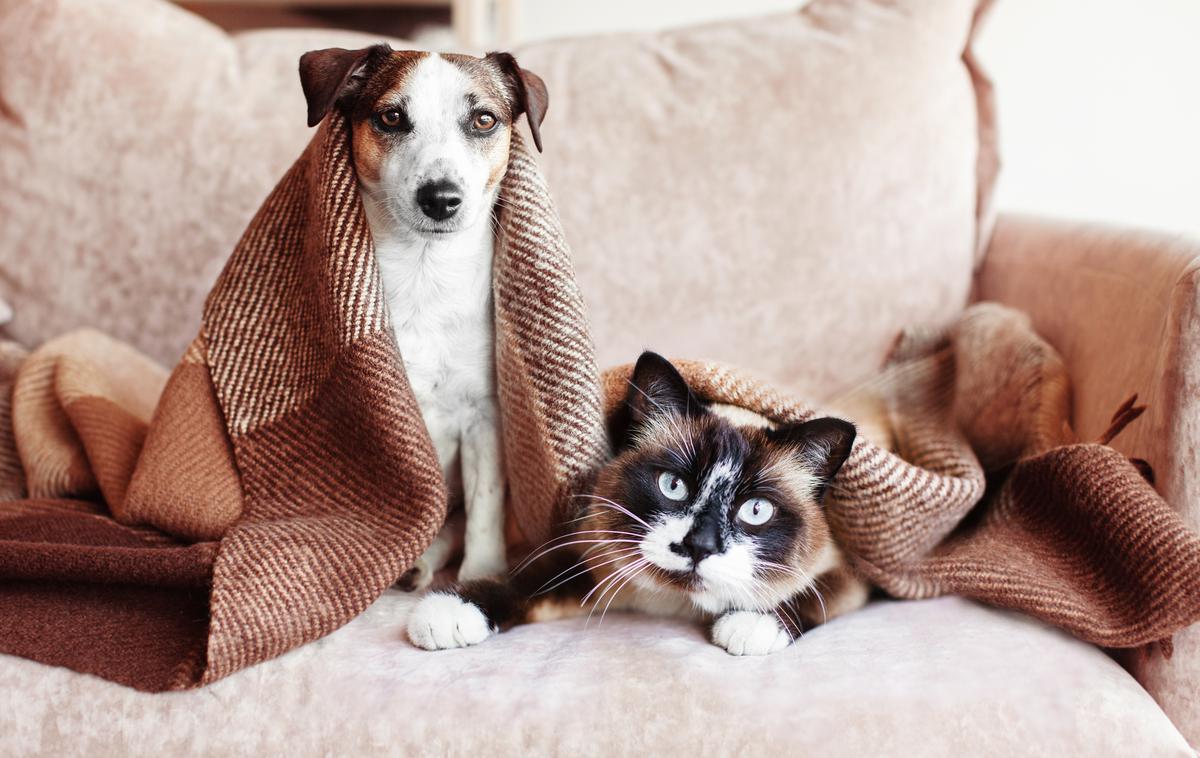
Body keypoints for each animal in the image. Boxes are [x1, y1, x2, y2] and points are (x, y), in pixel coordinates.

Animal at [298, 45, 549, 592]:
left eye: (484, 119)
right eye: (392, 117)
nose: (440, 198)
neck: (424, 274)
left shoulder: (483, 419)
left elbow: (484, 510)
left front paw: (481, 575)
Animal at [408, 352, 868, 652]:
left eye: (756, 510)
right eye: (673, 485)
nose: (699, 546)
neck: (674, 603)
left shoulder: (848, 572)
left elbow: (808, 594)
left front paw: (748, 626)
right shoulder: (590, 564)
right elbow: (524, 580)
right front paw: (448, 611)